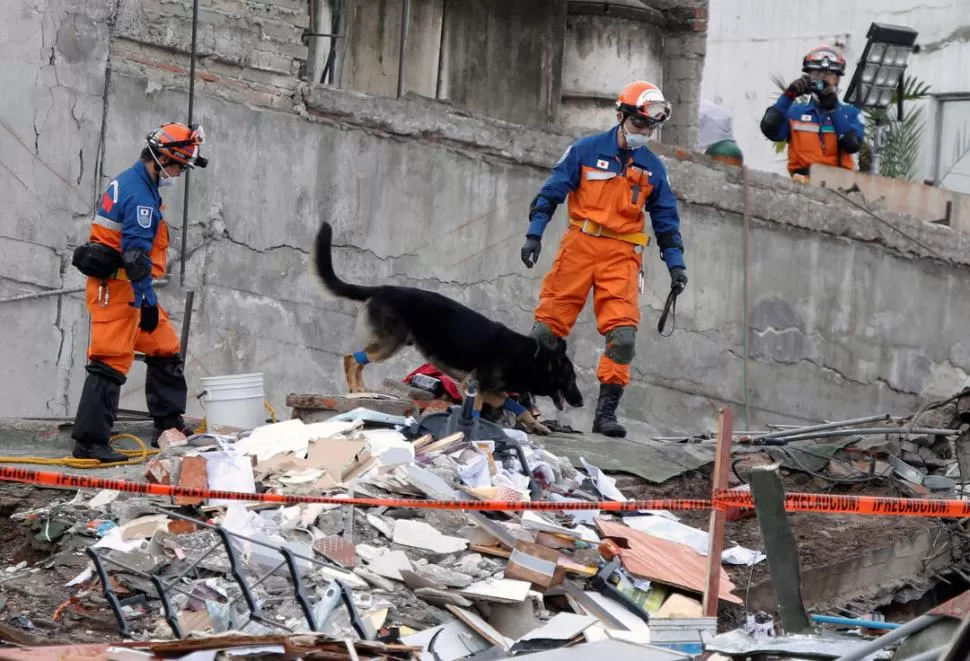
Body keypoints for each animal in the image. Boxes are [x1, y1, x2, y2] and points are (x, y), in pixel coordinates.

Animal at [312, 219, 584, 426]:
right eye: (570, 378)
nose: (581, 402)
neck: (534, 358)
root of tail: (382, 288)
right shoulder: (476, 387)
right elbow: (478, 410)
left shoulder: (491, 391)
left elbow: (514, 404)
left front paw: (535, 425)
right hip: (389, 345)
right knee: (351, 357)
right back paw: (355, 390)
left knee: (358, 360)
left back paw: (362, 389)